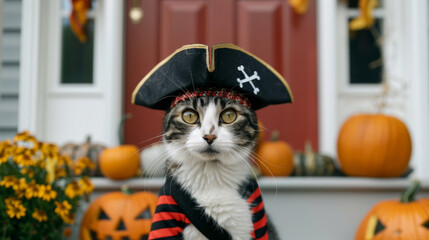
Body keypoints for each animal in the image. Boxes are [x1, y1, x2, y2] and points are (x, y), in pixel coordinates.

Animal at [149, 90, 280, 240]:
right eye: (189, 116)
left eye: (229, 115)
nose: (209, 136)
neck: (211, 174)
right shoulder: (166, 213)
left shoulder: (258, 215)